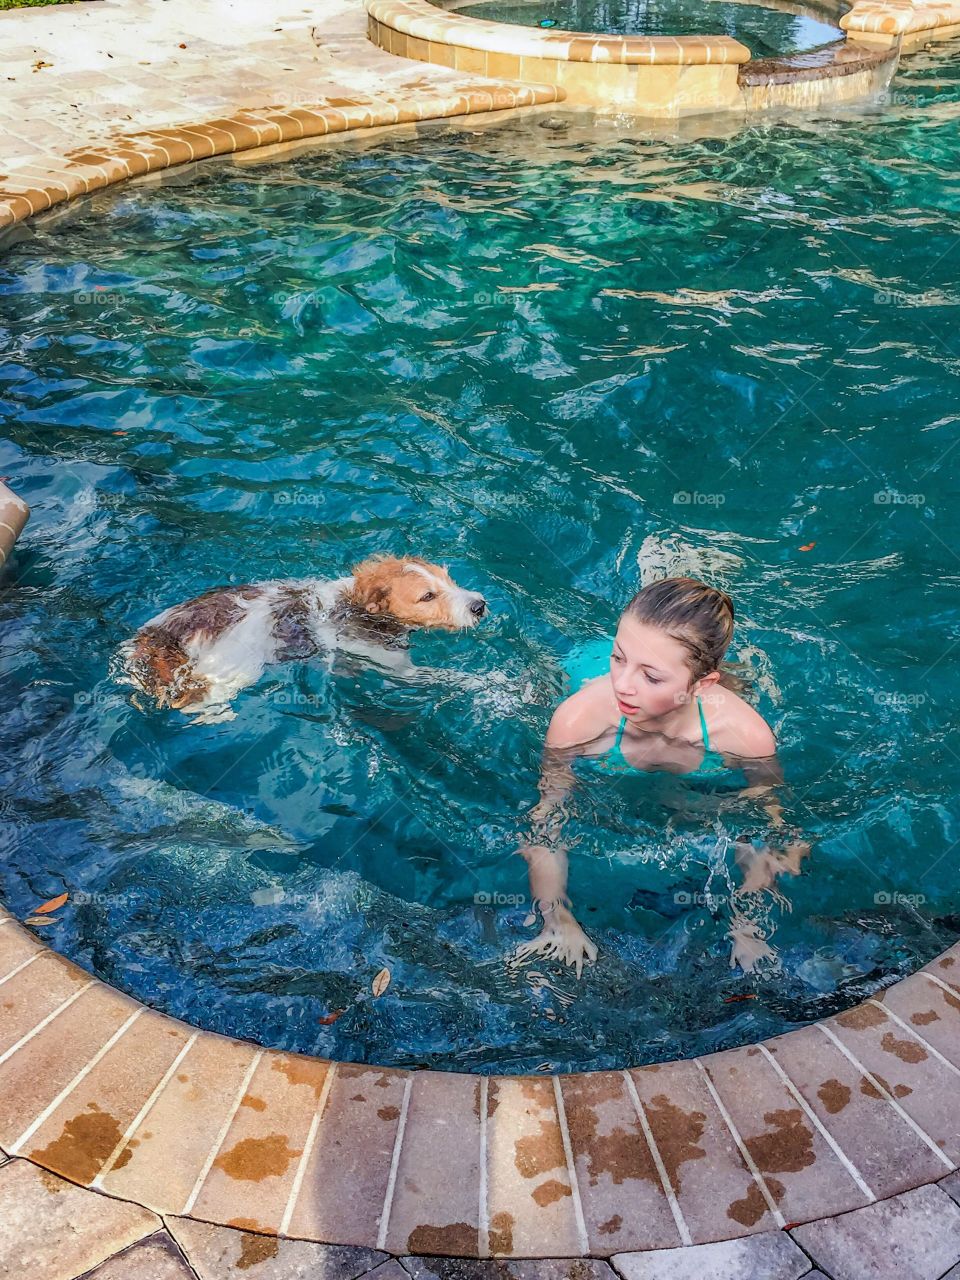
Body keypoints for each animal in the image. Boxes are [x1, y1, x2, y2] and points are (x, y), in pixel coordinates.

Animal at [122, 555, 488, 721]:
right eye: (427, 596)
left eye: (448, 578)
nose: (479, 605)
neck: (355, 607)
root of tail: (161, 637)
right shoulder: (395, 669)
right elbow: (451, 678)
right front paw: (488, 683)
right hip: (230, 672)